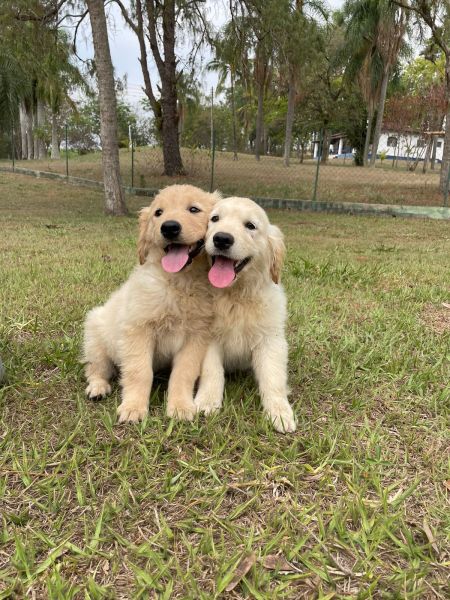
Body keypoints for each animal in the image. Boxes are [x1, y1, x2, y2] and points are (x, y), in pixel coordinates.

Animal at [84, 185, 220, 424]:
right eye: (159, 213)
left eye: (194, 209)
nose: (169, 227)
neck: (179, 282)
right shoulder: (138, 330)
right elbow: (139, 372)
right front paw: (133, 408)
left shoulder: (196, 336)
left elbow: (183, 373)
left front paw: (180, 407)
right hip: (95, 338)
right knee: (96, 368)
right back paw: (98, 387)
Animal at [195, 199, 298, 434]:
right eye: (215, 219)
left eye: (250, 226)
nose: (222, 238)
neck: (236, 295)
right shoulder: (208, 337)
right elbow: (212, 372)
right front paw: (207, 402)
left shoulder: (270, 340)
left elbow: (273, 377)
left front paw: (279, 412)